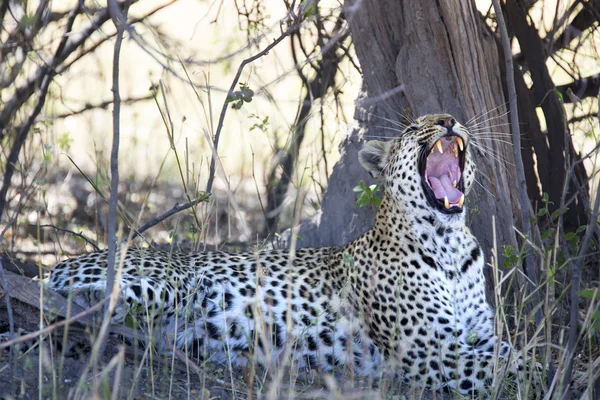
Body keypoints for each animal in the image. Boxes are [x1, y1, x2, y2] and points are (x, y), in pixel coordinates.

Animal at [48, 114, 536, 396]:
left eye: (447, 114)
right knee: (78, 309)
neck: (449, 243)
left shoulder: (477, 334)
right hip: (162, 284)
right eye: (415, 127)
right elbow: (509, 364)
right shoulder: (431, 350)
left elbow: (515, 351)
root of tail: (59, 263)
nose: (450, 119)